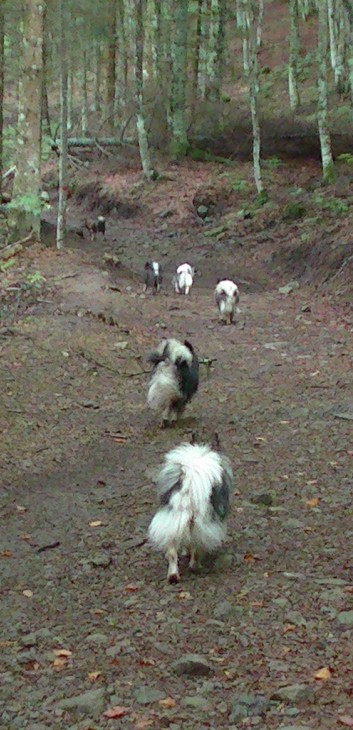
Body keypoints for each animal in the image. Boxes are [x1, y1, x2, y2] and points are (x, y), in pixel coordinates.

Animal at [147, 436, 232, 584]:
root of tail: (188, 491)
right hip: (200, 526)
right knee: (196, 549)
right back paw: (195, 566)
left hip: (173, 523)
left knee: (172, 553)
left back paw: (173, 576)